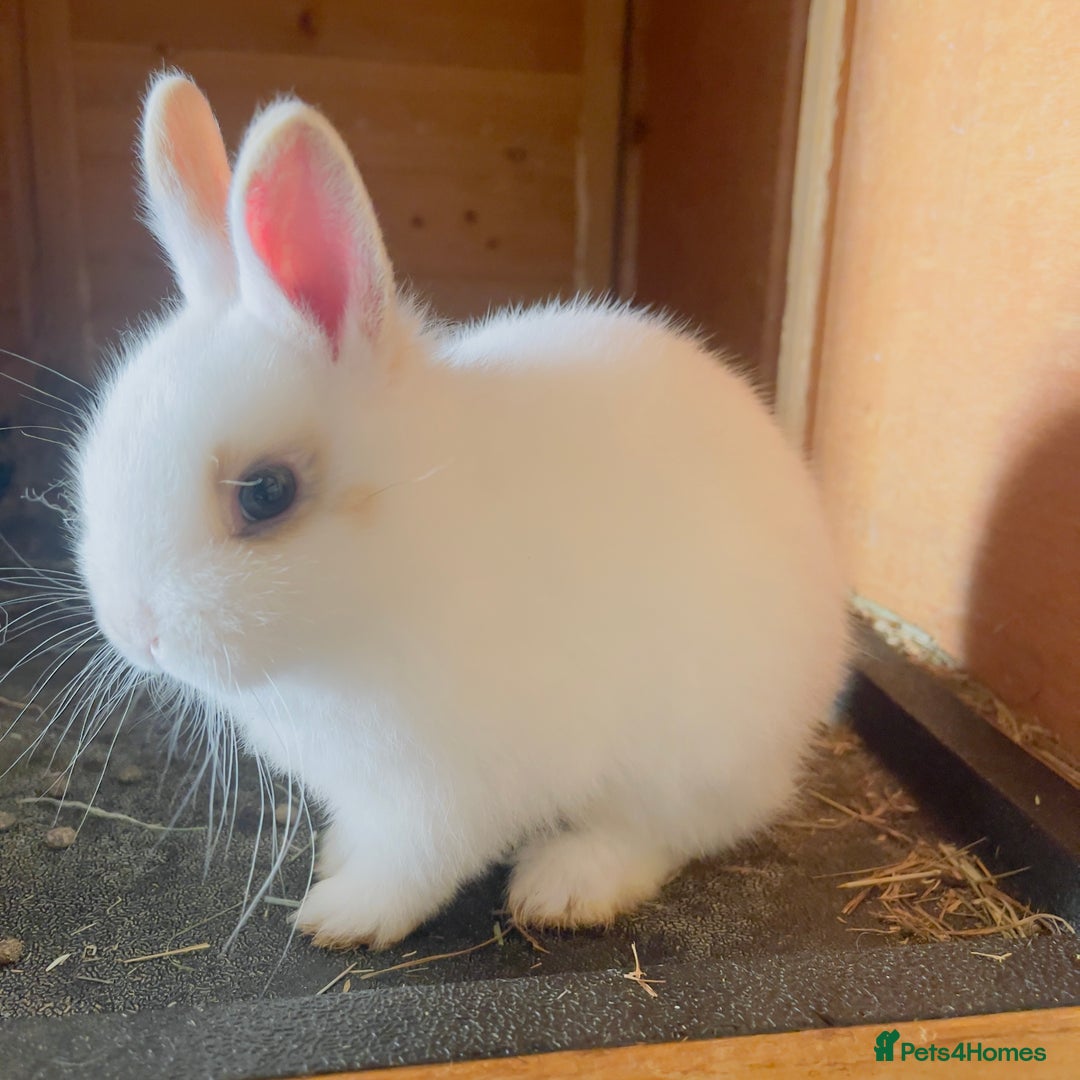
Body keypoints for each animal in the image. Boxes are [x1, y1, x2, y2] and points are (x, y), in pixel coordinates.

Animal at [71, 71, 850, 950]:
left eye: (267, 492)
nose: (136, 633)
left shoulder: (450, 788)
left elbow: (418, 862)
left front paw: (342, 915)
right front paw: (339, 862)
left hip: (689, 753)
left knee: (667, 831)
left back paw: (567, 886)